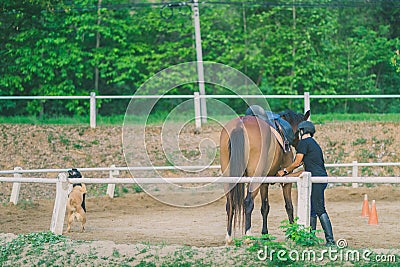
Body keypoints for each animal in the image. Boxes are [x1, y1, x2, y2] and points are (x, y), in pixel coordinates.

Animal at [219, 109, 310, 245]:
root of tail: (240, 125)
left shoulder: (264, 183)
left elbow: (265, 207)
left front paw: (265, 235)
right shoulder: (286, 181)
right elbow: (289, 206)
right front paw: (292, 233)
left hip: (229, 178)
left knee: (230, 204)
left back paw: (229, 237)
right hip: (254, 179)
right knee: (248, 203)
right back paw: (248, 237)